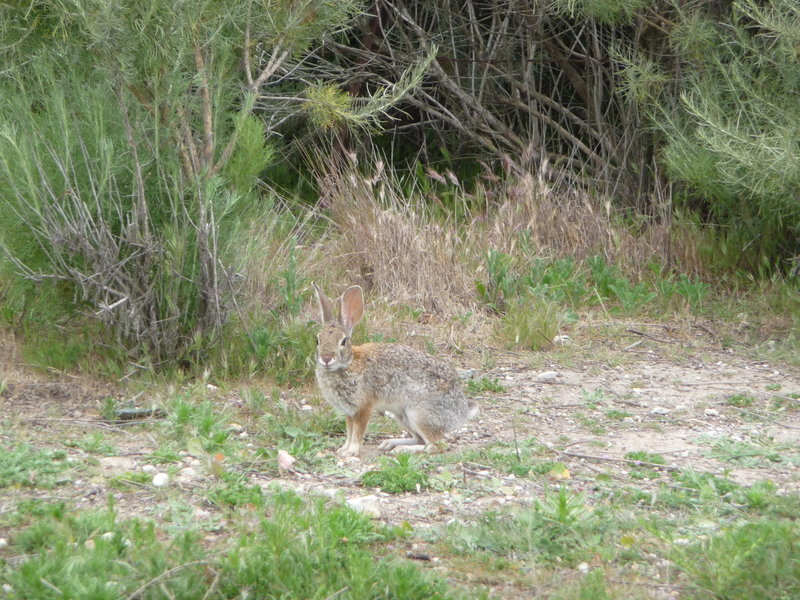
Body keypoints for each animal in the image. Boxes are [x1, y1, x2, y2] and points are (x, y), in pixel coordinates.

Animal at [310, 284, 476, 458]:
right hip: (403, 416)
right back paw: (390, 443)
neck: (348, 364)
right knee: (420, 439)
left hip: (419, 414)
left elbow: (357, 432)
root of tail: (461, 411)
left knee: (436, 445)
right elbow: (349, 432)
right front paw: (344, 449)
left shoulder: (363, 408)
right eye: (317, 340)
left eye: (343, 341)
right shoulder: (349, 412)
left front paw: (351, 451)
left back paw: (401, 449)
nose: (326, 358)